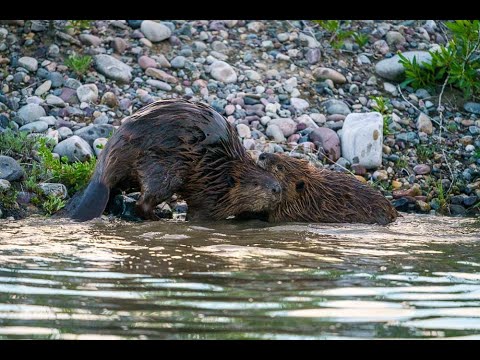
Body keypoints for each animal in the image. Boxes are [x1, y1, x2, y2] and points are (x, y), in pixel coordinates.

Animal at [68, 99, 284, 222]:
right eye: (256, 184)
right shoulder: (209, 197)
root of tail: (100, 180)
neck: (223, 172)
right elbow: (200, 215)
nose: (277, 189)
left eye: (271, 176)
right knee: (143, 203)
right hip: (164, 169)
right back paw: (158, 218)